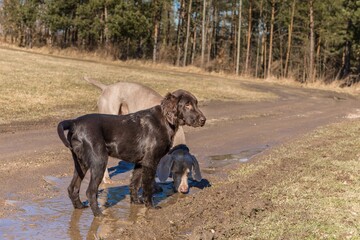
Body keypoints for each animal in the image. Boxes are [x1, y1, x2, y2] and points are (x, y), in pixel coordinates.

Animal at [58, 89, 207, 217]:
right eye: (187, 104)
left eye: (196, 103)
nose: (203, 120)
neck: (165, 120)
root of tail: (74, 122)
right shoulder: (150, 161)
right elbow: (147, 186)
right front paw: (150, 206)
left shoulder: (140, 162)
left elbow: (134, 183)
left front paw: (136, 202)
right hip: (98, 161)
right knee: (90, 191)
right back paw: (99, 215)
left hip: (81, 163)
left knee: (72, 187)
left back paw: (79, 206)